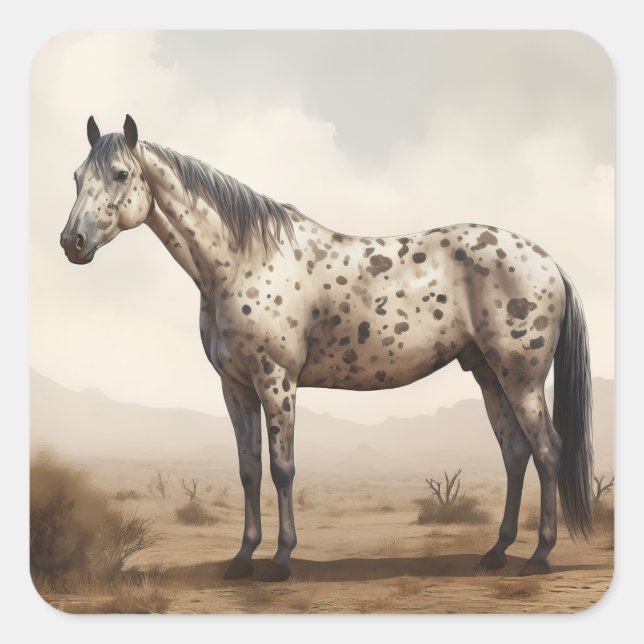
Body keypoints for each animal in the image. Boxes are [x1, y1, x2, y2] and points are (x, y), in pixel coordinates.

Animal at [60, 115, 593, 581]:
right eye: (77, 176)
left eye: (121, 173)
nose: (72, 242)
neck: (241, 260)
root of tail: (548, 262)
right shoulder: (235, 387)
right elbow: (249, 471)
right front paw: (242, 559)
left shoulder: (276, 381)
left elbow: (282, 469)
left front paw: (280, 561)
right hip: (488, 374)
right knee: (515, 453)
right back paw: (495, 553)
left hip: (521, 376)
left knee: (548, 450)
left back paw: (538, 558)